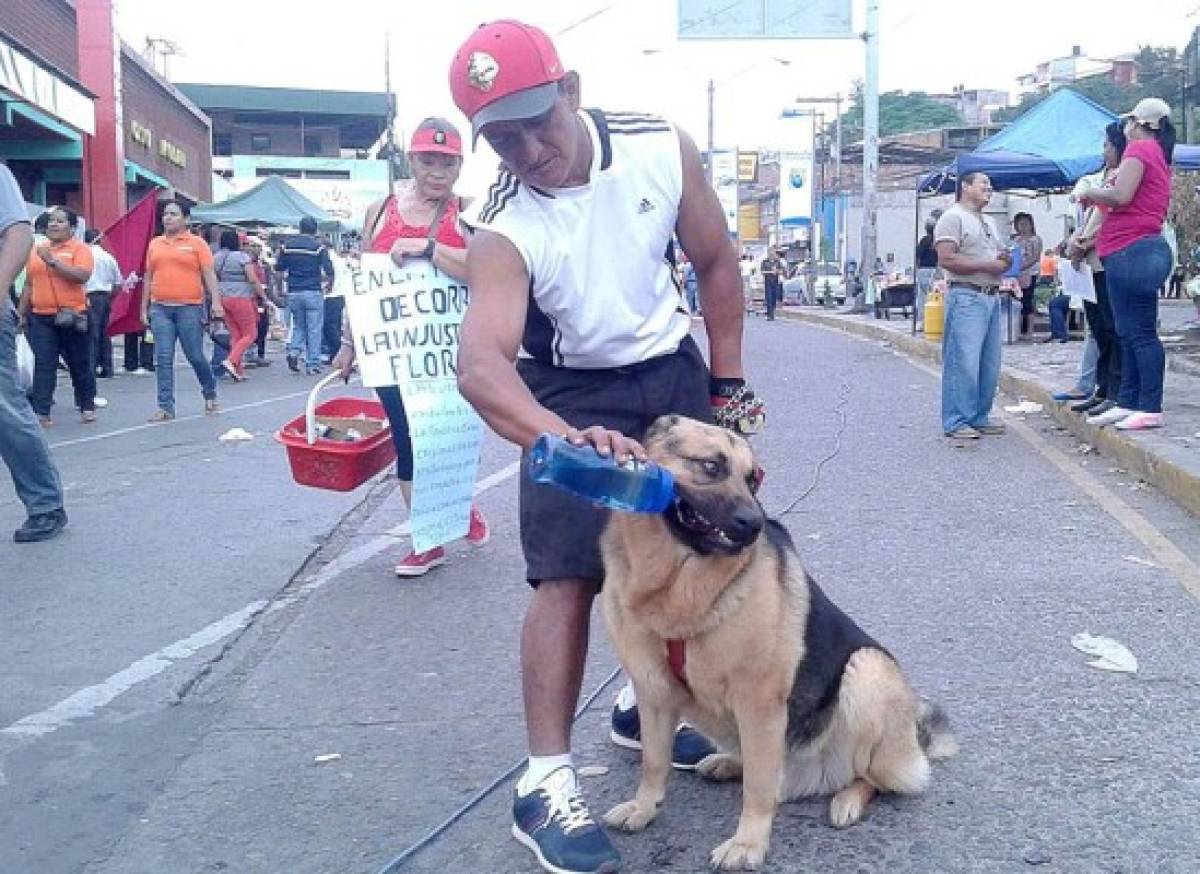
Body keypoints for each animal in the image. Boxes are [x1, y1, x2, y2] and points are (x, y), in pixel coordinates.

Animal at [600, 420, 955, 869]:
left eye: (753, 479)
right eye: (711, 466)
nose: (755, 523)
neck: (679, 591)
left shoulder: (759, 704)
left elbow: (758, 787)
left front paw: (748, 843)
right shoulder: (654, 693)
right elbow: (653, 761)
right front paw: (644, 808)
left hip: (868, 670)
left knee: (871, 777)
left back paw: (847, 799)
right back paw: (728, 763)